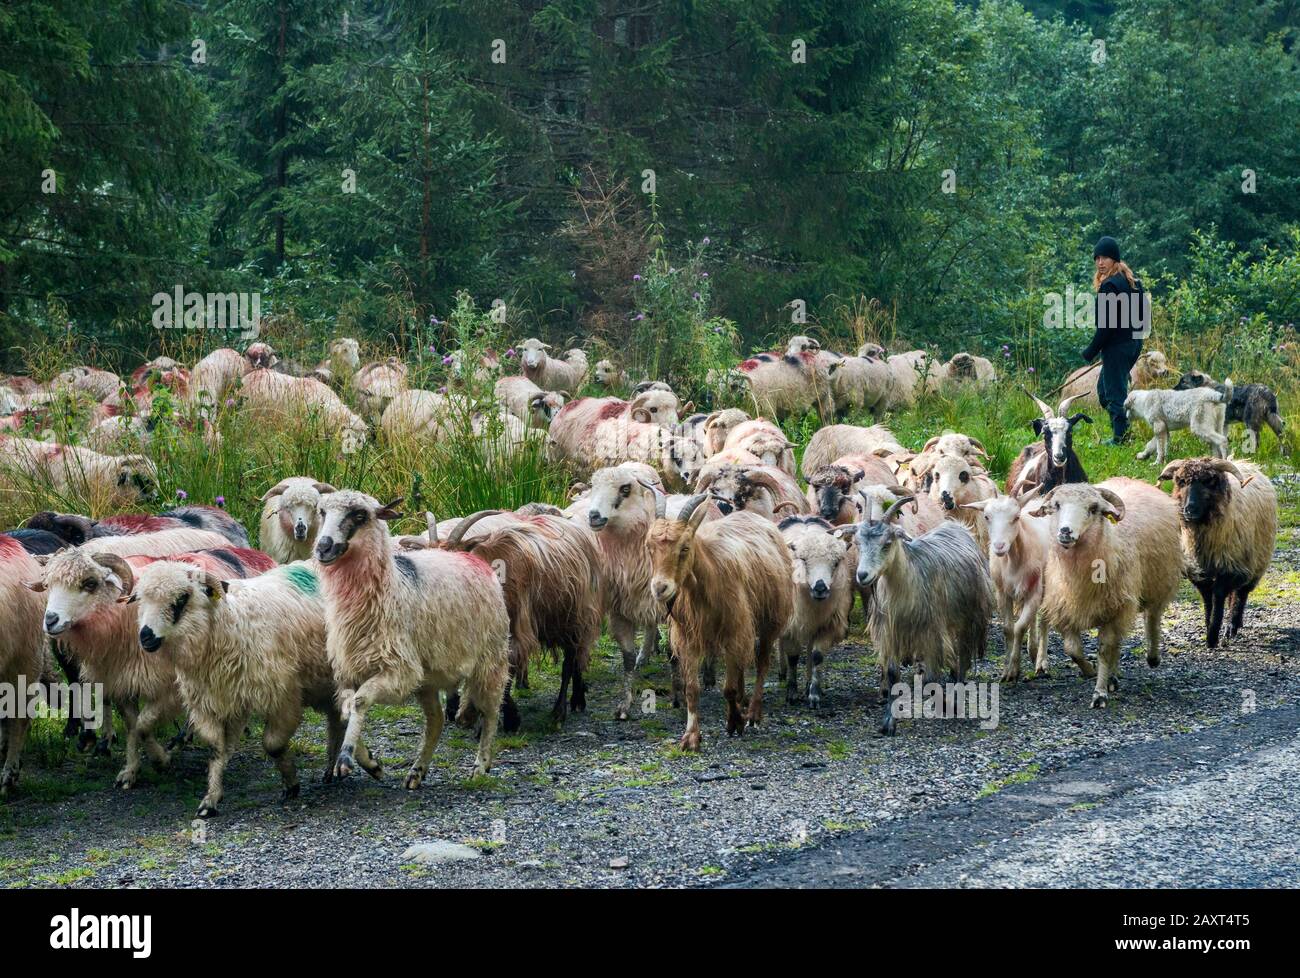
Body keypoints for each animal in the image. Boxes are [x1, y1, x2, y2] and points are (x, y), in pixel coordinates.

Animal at [317, 491, 509, 785]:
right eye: (322, 512)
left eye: (360, 515)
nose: (323, 547)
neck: (390, 589)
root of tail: (470, 558)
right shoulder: (349, 672)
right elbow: (346, 708)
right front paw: (370, 762)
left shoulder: (401, 671)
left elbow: (360, 701)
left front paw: (347, 757)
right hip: (427, 678)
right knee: (436, 720)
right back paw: (416, 772)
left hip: (491, 658)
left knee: (491, 711)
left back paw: (480, 765)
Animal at [642, 491, 785, 754]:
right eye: (649, 546)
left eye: (685, 547)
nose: (660, 588)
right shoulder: (688, 636)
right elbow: (692, 689)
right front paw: (691, 738)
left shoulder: (734, 630)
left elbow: (728, 687)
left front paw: (734, 722)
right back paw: (742, 701)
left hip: (771, 618)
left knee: (761, 663)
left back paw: (753, 713)